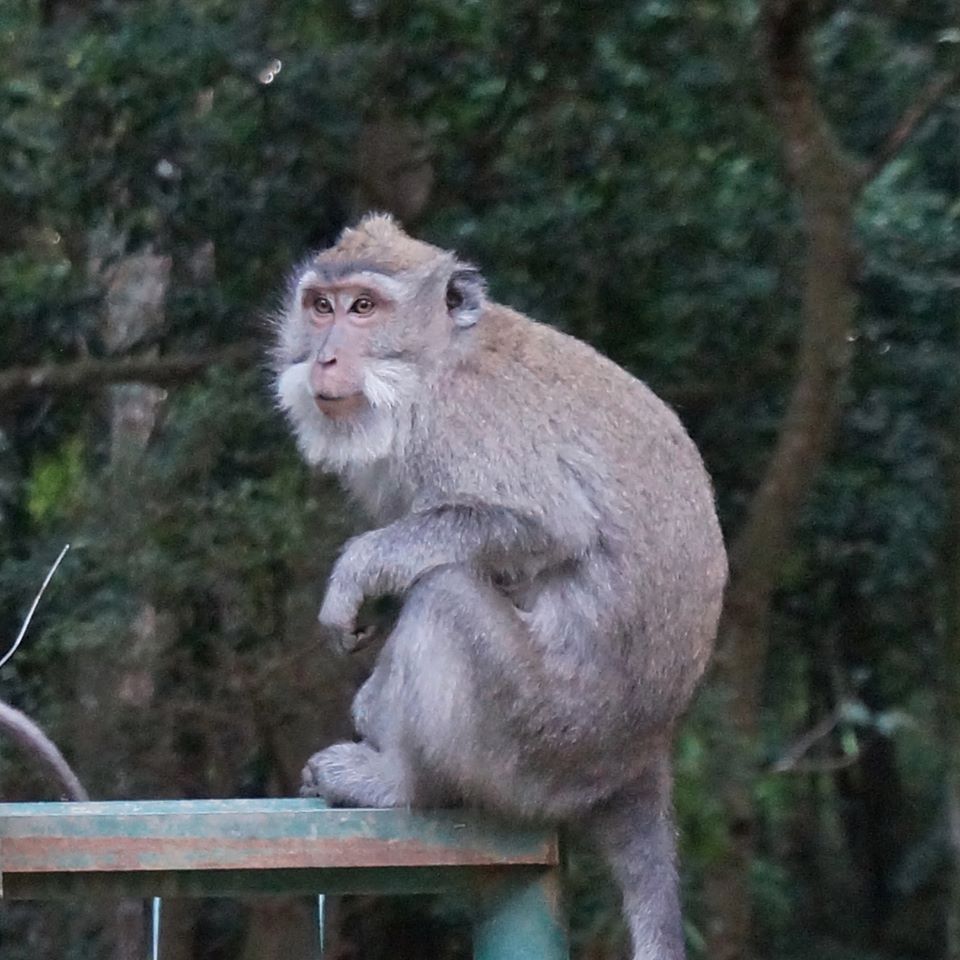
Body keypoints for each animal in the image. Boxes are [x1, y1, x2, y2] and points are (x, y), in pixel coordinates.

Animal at [272, 216, 728, 960]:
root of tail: (641, 756)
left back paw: (402, 783)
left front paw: (357, 572)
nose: (326, 359)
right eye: (321, 306)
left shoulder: (465, 422)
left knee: (446, 598)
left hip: (542, 742)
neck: (434, 366)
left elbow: (543, 525)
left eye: (364, 308)